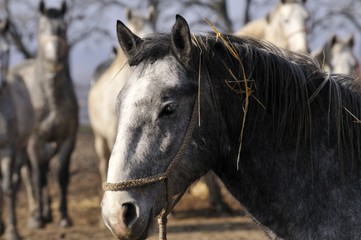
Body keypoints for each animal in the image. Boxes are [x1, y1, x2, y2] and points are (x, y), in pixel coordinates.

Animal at [9, 0, 77, 229]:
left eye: (63, 28)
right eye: (41, 28)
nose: (54, 61)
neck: (51, 98)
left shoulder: (67, 140)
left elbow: (61, 175)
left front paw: (64, 217)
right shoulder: (35, 142)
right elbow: (37, 177)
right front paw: (37, 218)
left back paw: (47, 212)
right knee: (28, 175)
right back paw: (35, 212)